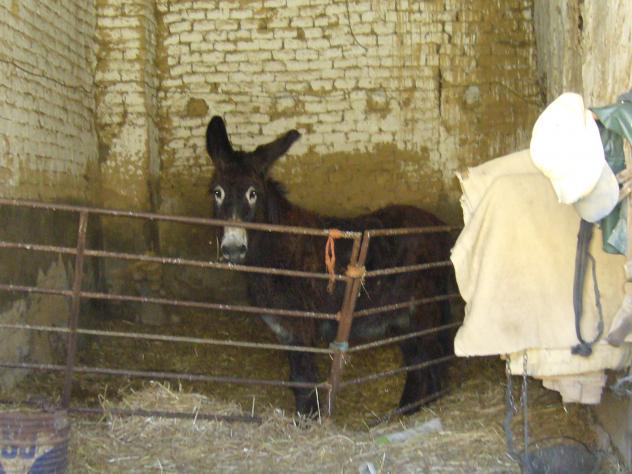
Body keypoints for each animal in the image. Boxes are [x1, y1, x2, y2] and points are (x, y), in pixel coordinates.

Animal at [206, 116, 453, 416]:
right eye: (217, 193)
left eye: (253, 194)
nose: (232, 249)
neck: (277, 246)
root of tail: (439, 225)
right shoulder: (285, 330)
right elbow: (298, 379)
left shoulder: (301, 327)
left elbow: (303, 378)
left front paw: (310, 418)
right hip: (401, 318)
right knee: (418, 364)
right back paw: (405, 412)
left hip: (423, 312)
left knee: (432, 363)